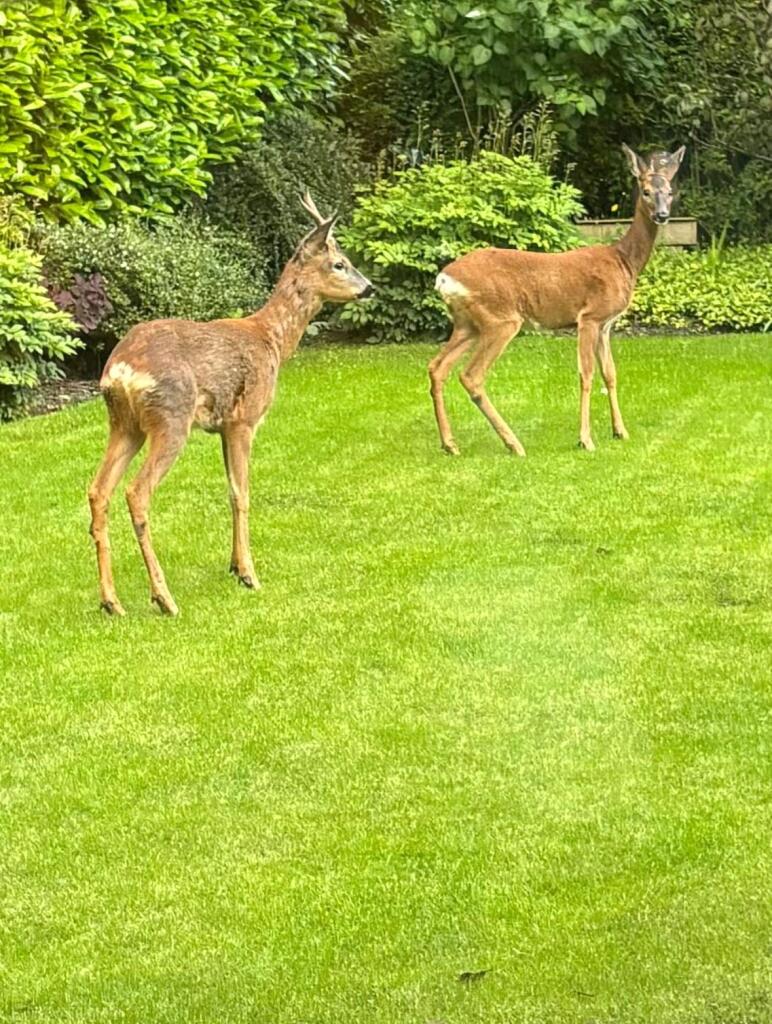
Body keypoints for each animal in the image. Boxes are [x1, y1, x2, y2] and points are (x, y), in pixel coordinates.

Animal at [88, 194, 373, 617]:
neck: (271, 340)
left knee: (98, 490)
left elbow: (229, 491)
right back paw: (164, 598)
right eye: (339, 263)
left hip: (124, 425)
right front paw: (249, 574)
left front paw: (235, 565)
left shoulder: (222, 426)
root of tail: (120, 371)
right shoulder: (244, 419)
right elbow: (242, 493)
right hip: (170, 419)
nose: (369, 287)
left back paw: (111, 601)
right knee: (136, 492)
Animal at [429, 144, 686, 456]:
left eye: (670, 191)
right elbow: (586, 375)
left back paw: (450, 444)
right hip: (500, 319)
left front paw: (620, 431)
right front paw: (586, 439)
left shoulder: (606, 324)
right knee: (471, 376)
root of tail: (444, 279)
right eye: (646, 191)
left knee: (437, 368)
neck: (624, 261)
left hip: (468, 324)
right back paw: (514, 444)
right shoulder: (589, 317)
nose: (662, 214)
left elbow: (610, 374)